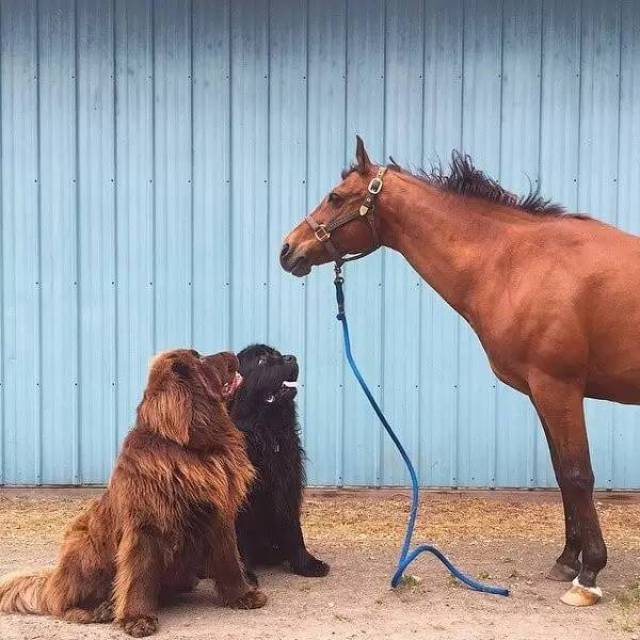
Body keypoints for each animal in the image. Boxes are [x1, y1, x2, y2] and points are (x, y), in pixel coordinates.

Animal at [0, 350, 264, 636]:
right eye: (199, 359)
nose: (232, 355)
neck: (193, 448)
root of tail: (53, 579)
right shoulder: (146, 527)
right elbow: (139, 575)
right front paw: (137, 619)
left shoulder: (218, 516)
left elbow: (229, 560)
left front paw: (243, 596)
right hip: (83, 547)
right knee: (61, 604)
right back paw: (98, 610)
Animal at [231, 344, 330, 584]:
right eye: (261, 360)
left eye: (276, 353)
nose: (291, 357)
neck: (266, 433)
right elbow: (239, 540)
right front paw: (245, 576)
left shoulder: (287, 486)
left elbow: (294, 528)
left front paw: (307, 564)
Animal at [282, 135, 640, 604]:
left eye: (336, 197)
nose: (287, 249)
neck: (520, 263)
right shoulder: (541, 392)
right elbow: (563, 474)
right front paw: (567, 562)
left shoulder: (558, 388)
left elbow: (579, 475)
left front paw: (590, 575)